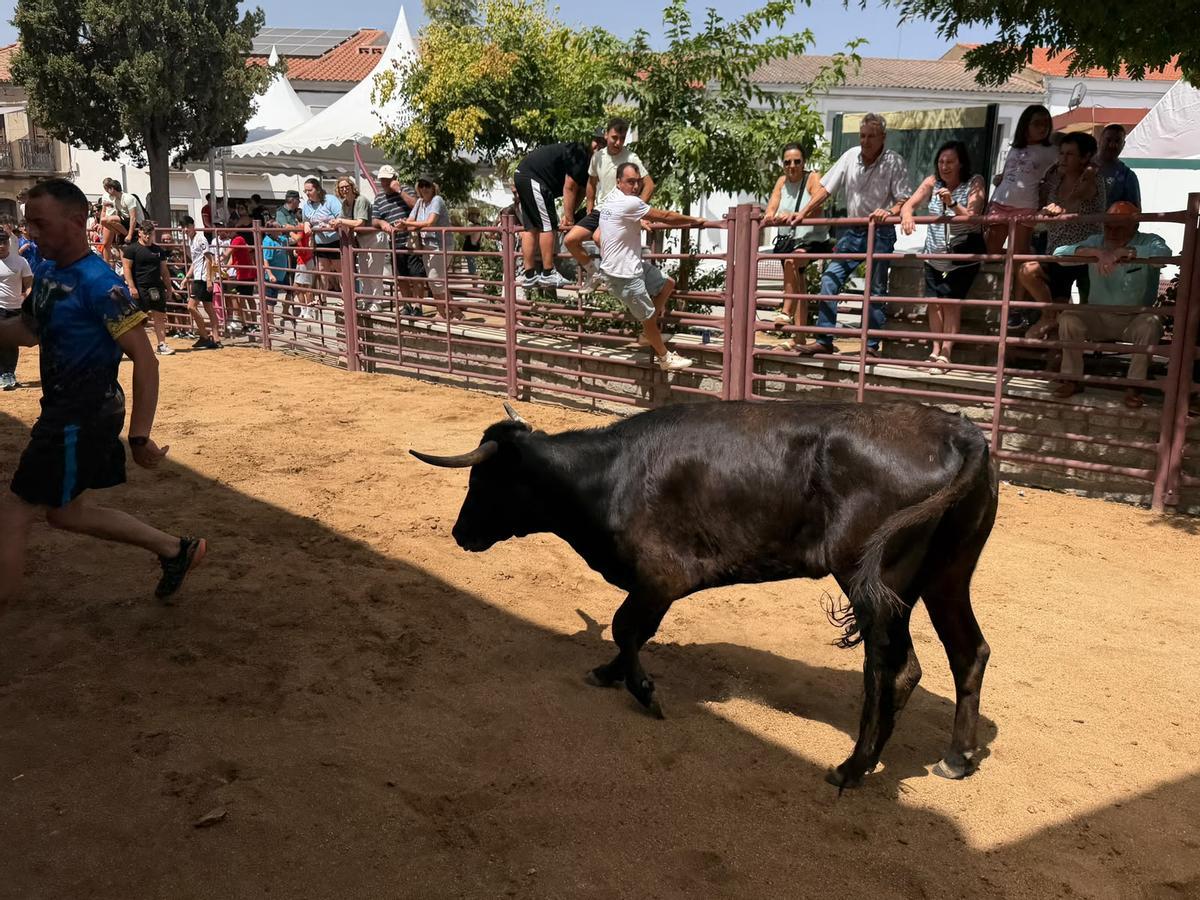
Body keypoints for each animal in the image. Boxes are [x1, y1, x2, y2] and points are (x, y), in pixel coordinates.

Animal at [411, 399, 998, 789]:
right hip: (948, 575)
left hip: (873, 581)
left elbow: (627, 626)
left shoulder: (660, 577)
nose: (460, 533)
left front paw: (643, 691)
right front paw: (609, 672)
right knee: (967, 651)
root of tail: (960, 433)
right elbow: (630, 631)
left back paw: (853, 767)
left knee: (894, 670)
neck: (607, 478)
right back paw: (956, 757)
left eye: (483, 483)